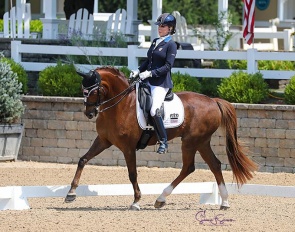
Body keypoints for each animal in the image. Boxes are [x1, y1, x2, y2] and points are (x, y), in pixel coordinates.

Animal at [64, 66, 256, 210]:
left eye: (93, 91)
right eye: (83, 90)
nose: (89, 113)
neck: (121, 105)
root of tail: (213, 101)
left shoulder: (128, 147)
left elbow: (132, 173)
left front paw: (136, 201)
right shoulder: (103, 141)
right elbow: (82, 160)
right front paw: (71, 193)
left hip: (190, 142)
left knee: (188, 167)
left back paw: (161, 198)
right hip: (202, 142)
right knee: (214, 165)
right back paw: (224, 202)